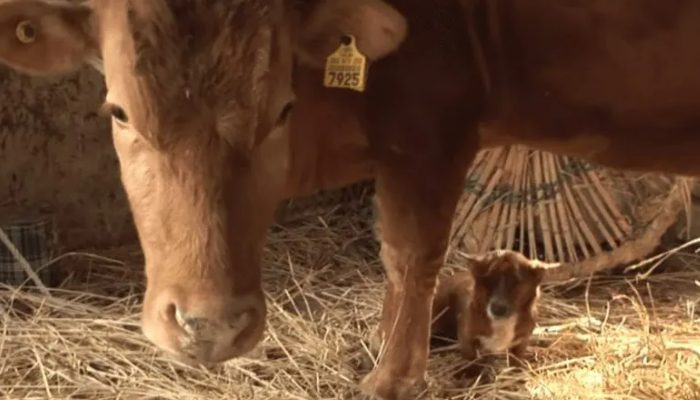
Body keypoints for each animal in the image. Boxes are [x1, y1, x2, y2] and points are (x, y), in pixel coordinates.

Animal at [2, 0, 700, 399]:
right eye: (119, 110)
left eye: (282, 110)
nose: (210, 327)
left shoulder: (432, 127)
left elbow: (410, 257)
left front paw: (391, 380)